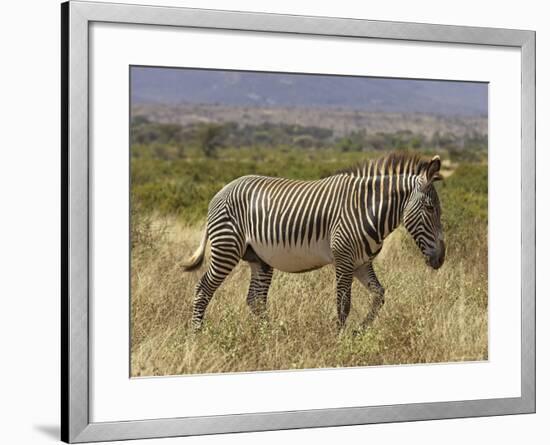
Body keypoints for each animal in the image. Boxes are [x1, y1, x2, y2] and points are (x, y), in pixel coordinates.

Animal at [183, 153, 446, 330]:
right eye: (430, 208)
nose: (441, 259)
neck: (367, 209)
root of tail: (220, 191)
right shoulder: (344, 259)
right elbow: (343, 304)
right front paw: (340, 340)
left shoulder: (361, 263)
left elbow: (379, 295)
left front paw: (360, 331)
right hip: (227, 248)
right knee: (203, 289)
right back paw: (197, 334)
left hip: (258, 257)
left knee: (255, 300)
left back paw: (269, 336)